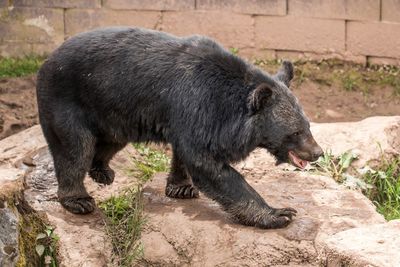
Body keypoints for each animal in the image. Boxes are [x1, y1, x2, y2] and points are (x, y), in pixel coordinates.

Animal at [37, 27, 324, 229]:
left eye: (308, 126)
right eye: (296, 132)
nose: (318, 153)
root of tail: (46, 61)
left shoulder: (189, 117)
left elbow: (186, 154)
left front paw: (181, 188)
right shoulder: (197, 105)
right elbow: (207, 163)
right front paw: (281, 214)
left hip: (113, 112)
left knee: (109, 141)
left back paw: (103, 172)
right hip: (66, 102)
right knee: (75, 149)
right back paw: (79, 200)